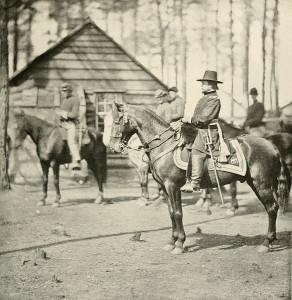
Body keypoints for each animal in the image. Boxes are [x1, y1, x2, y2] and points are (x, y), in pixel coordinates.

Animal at [109, 103, 290, 255]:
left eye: (118, 121)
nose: (113, 147)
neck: (164, 146)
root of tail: (272, 145)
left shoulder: (173, 186)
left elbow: (178, 213)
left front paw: (179, 244)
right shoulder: (165, 188)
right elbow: (171, 212)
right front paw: (171, 241)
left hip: (262, 184)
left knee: (272, 208)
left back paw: (266, 243)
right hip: (258, 184)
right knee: (271, 208)